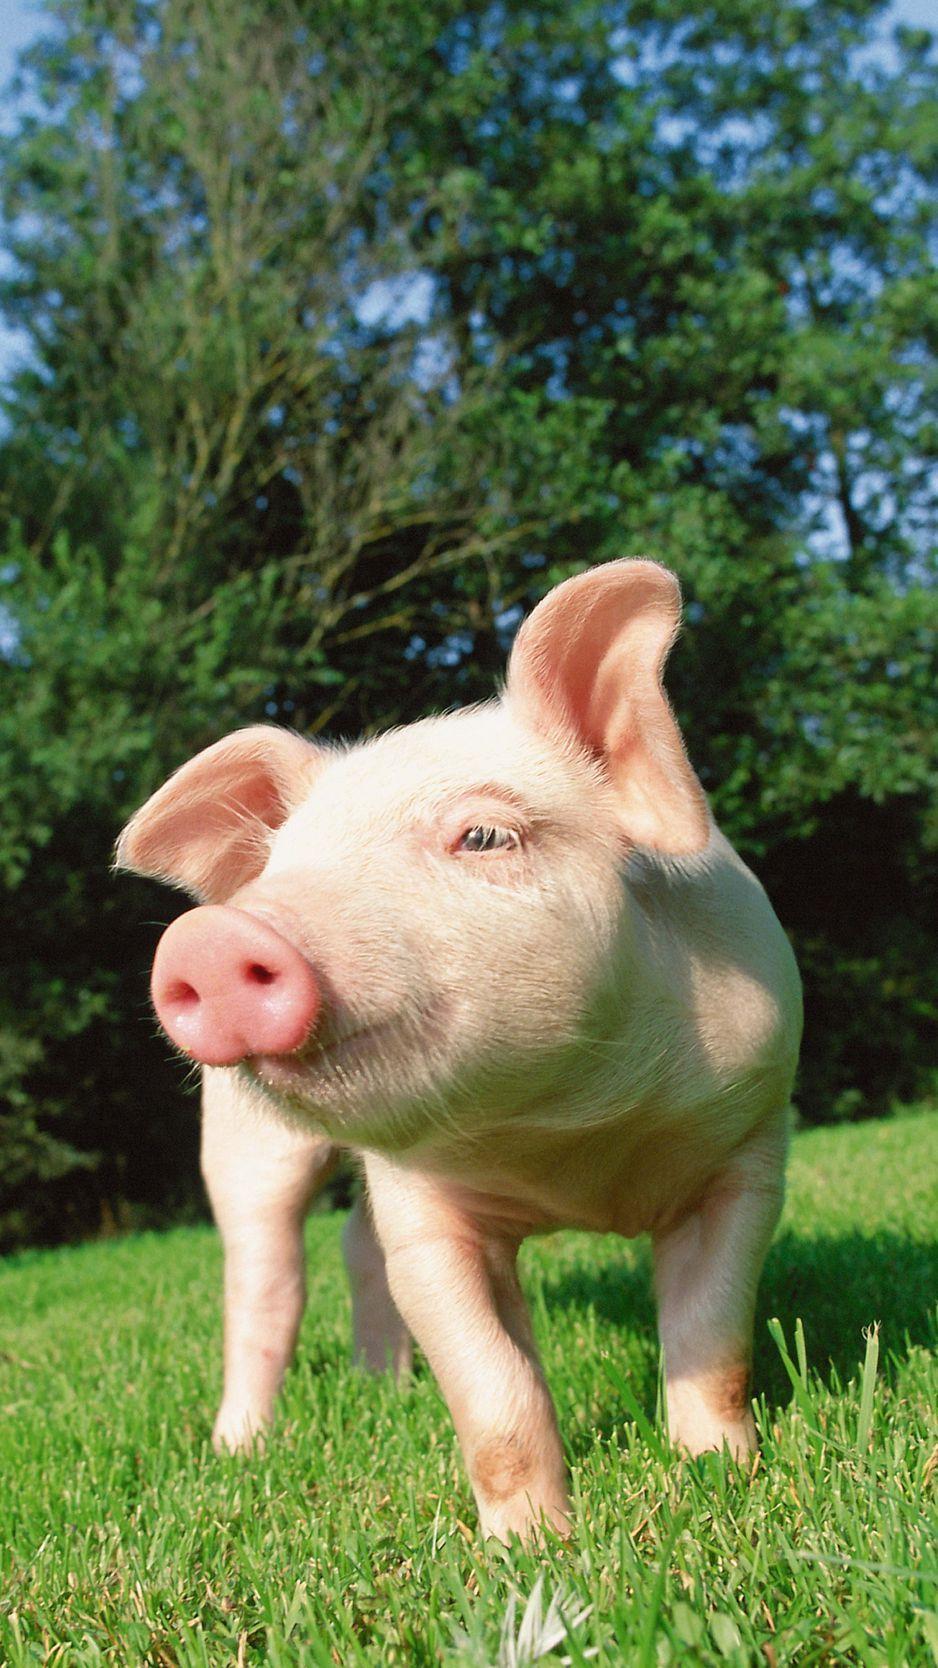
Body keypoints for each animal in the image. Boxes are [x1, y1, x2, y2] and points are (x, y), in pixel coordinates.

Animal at [116, 559, 802, 1542]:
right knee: (263, 1282)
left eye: (482, 835)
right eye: (282, 863)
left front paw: (720, 1476)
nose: (208, 940)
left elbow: (714, 1344)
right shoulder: (428, 1215)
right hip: (241, 1142)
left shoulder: (749, 1146)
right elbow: (494, 1393)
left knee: (351, 1245)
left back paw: (385, 1389)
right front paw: (532, 1549)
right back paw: (240, 1447)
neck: (571, 1136)